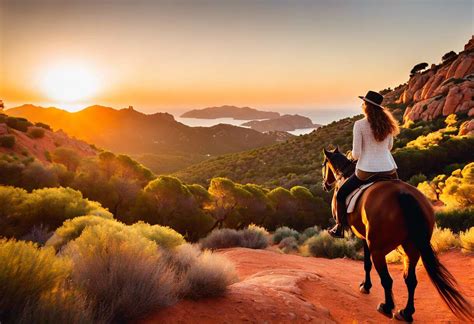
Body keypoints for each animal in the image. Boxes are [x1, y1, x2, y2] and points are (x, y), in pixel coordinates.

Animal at [320, 147, 472, 322]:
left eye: (323, 165)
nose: (325, 185)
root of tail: (402, 194)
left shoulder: (365, 239)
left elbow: (366, 264)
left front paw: (365, 286)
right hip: (412, 248)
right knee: (410, 280)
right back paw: (406, 312)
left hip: (378, 250)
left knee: (387, 280)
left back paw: (386, 307)